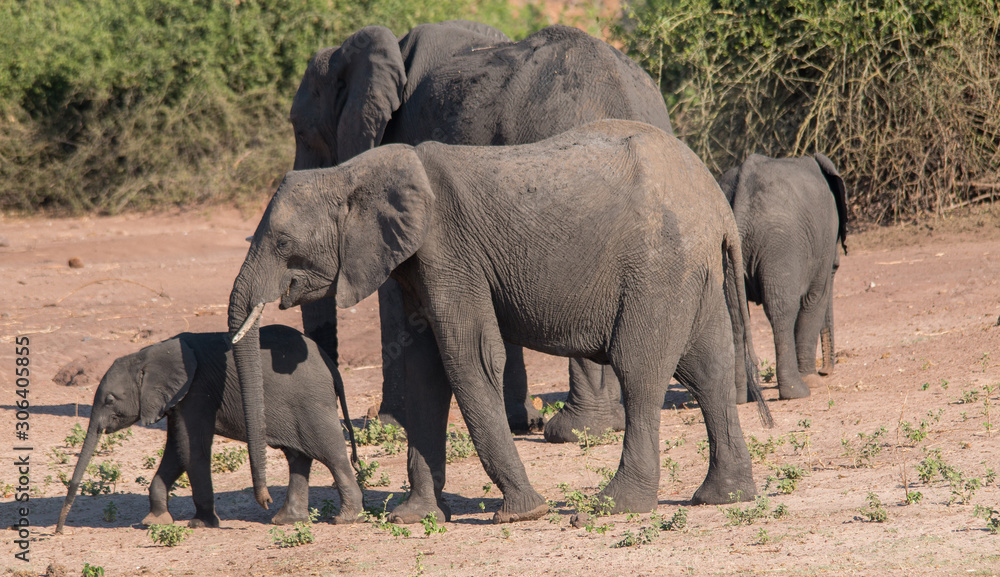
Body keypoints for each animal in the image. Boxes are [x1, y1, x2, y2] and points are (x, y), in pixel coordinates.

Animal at [55, 325, 363, 533]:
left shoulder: (196, 390)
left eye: (109, 400)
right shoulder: (178, 398)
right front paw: (155, 521)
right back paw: (286, 520)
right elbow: (177, 451)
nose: (59, 530)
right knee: (298, 457)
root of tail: (328, 361)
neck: (147, 354)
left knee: (332, 454)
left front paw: (200, 524)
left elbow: (191, 449)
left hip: (312, 402)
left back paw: (345, 518)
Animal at [228, 119, 770, 525]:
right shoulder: (418, 264)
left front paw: (522, 513)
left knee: (639, 371)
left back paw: (610, 508)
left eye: (282, 242)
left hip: (658, 267)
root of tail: (716, 203)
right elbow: (425, 368)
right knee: (709, 369)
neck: (351, 172)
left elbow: (467, 358)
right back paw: (724, 497)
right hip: (691, 271)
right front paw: (415, 517)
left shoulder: (449, 250)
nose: (263, 503)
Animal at [718, 153, 848, 401]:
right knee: (782, 310)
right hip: (780, 244)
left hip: (726, 249)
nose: (825, 372)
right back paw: (797, 391)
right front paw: (813, 381)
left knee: (734, 316)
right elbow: (814, 300)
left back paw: (740, 397)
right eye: (835, 268)